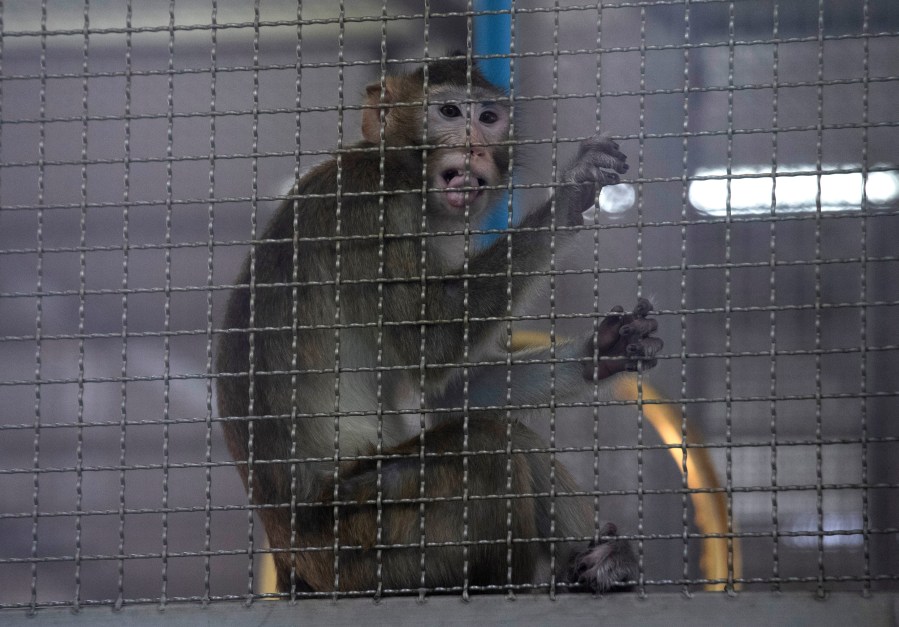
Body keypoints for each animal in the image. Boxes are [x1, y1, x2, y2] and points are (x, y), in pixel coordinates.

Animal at [215, 55, 664, 600]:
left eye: (489, 118)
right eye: (449, 112)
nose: (474, 146)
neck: (401, 171)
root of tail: (290, 559)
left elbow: (447, 396)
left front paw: (604, 349)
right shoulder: (373, 212)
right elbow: (431, 345)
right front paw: (568, 196)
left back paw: (600, 564)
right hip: (364, 541)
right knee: (487, 446)